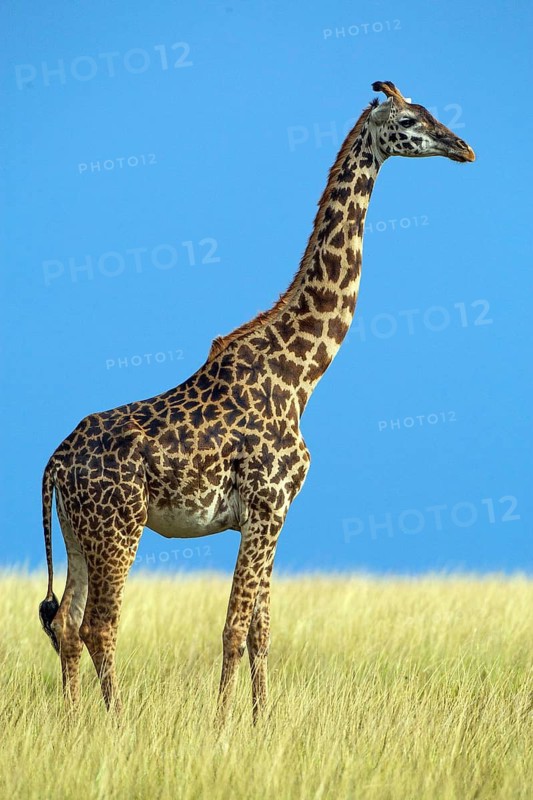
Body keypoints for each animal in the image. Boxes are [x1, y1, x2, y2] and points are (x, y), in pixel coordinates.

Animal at [39, 81, 475, 723]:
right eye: (410, 121)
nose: (464, 147)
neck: (303, 376)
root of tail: (54, 463)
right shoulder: (267, 505)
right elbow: (233, 627)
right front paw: (223, 721)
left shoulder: (273, 513)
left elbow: (261, 629)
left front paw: (260, 718)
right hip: (119, 526)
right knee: (99, 624)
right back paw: (114, 720)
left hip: (77, 532)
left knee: (66, 623)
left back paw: (75, 722)